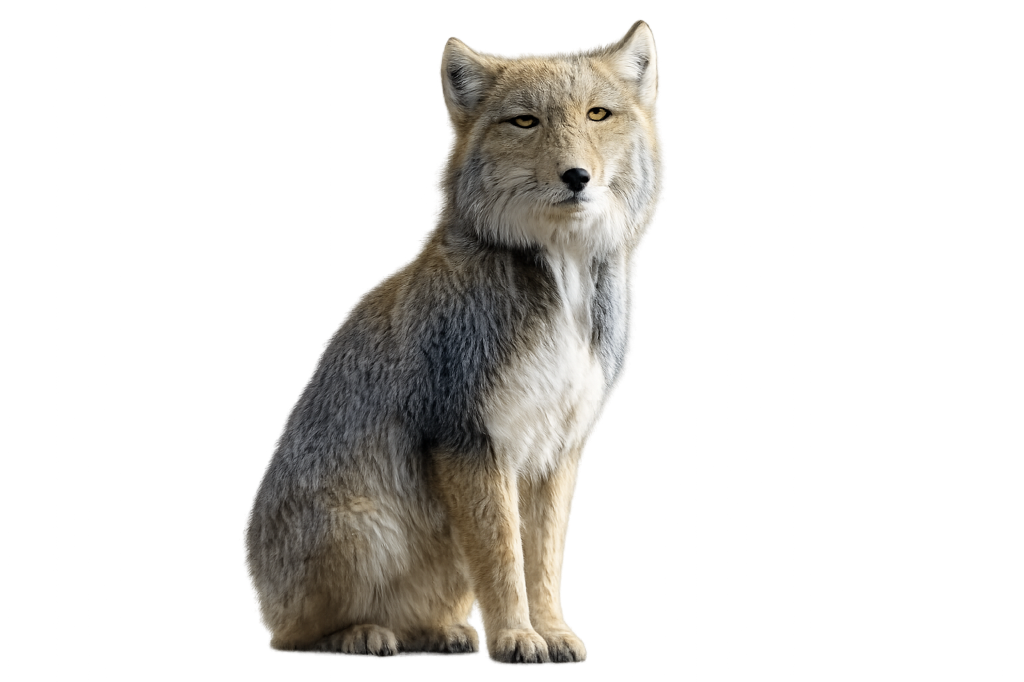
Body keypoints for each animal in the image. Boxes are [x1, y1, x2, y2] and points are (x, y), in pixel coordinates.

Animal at [242, 20, 666, 666]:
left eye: (598, 114)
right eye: (525, 122)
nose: (576, 176)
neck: (562, 285)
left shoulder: (560, 448)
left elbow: (543, 561)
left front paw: (551, 631)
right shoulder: (471, 437)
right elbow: (503, 559)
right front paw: (517, 636)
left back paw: (438, 632)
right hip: (364, 533)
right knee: (287, 637)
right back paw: (362, 635)